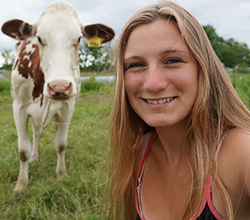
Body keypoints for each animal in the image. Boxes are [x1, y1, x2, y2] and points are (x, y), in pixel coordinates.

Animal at [1, 0, 114, 195]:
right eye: (39, 38)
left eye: (78, 39)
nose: (59, 86)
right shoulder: (19, 108)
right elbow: (23, 150)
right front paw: (21, 184)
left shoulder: (68, 107)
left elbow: (61, 144)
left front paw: (61, 174)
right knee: (35, 134)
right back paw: (34, 157)